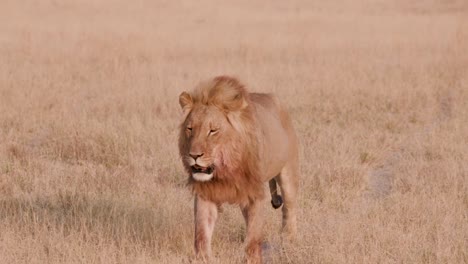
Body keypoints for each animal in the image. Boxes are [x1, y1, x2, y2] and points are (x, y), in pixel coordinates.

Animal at [177, 75, 298, 262]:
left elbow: (254, 233)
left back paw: (288, 242)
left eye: (213, 131)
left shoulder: (255, 193)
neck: (226, 170)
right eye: (190, 128)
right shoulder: (206, 192)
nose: (194, 155)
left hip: (288, 172)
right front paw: (203, 258)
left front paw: (252, 259)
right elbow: (202, 231)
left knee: (289, 209)